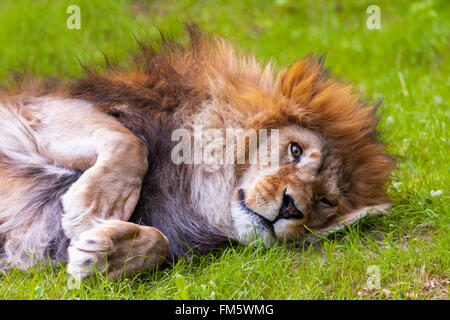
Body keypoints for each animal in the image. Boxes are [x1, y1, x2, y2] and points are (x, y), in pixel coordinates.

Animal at [0, 26, 392, 278]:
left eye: (325, 202)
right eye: (295, 150)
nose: (291, 207)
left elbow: (158, 243)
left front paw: (103, 254)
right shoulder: (28, 107)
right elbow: (130, 143)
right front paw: (95, 209)